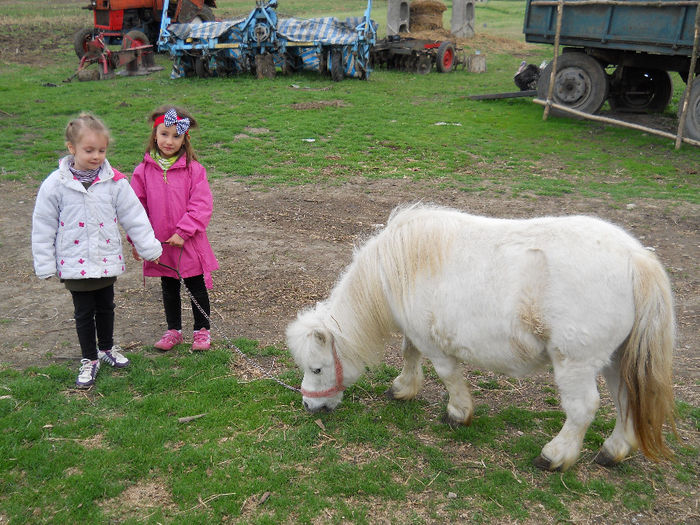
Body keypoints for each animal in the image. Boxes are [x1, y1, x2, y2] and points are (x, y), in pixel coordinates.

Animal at [286, 203, 680, 468]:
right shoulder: (415, 332)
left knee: (582, 409)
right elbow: (409, 354)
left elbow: (447, 375)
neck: (399, 265)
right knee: (626, 400)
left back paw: (555, 456)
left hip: (577, 363)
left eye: (317, 369)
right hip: (616, 359)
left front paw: (458, 413)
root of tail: (637, 259)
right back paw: (613, 451)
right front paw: (403, 389)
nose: (309, 407)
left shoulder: (435, 345)